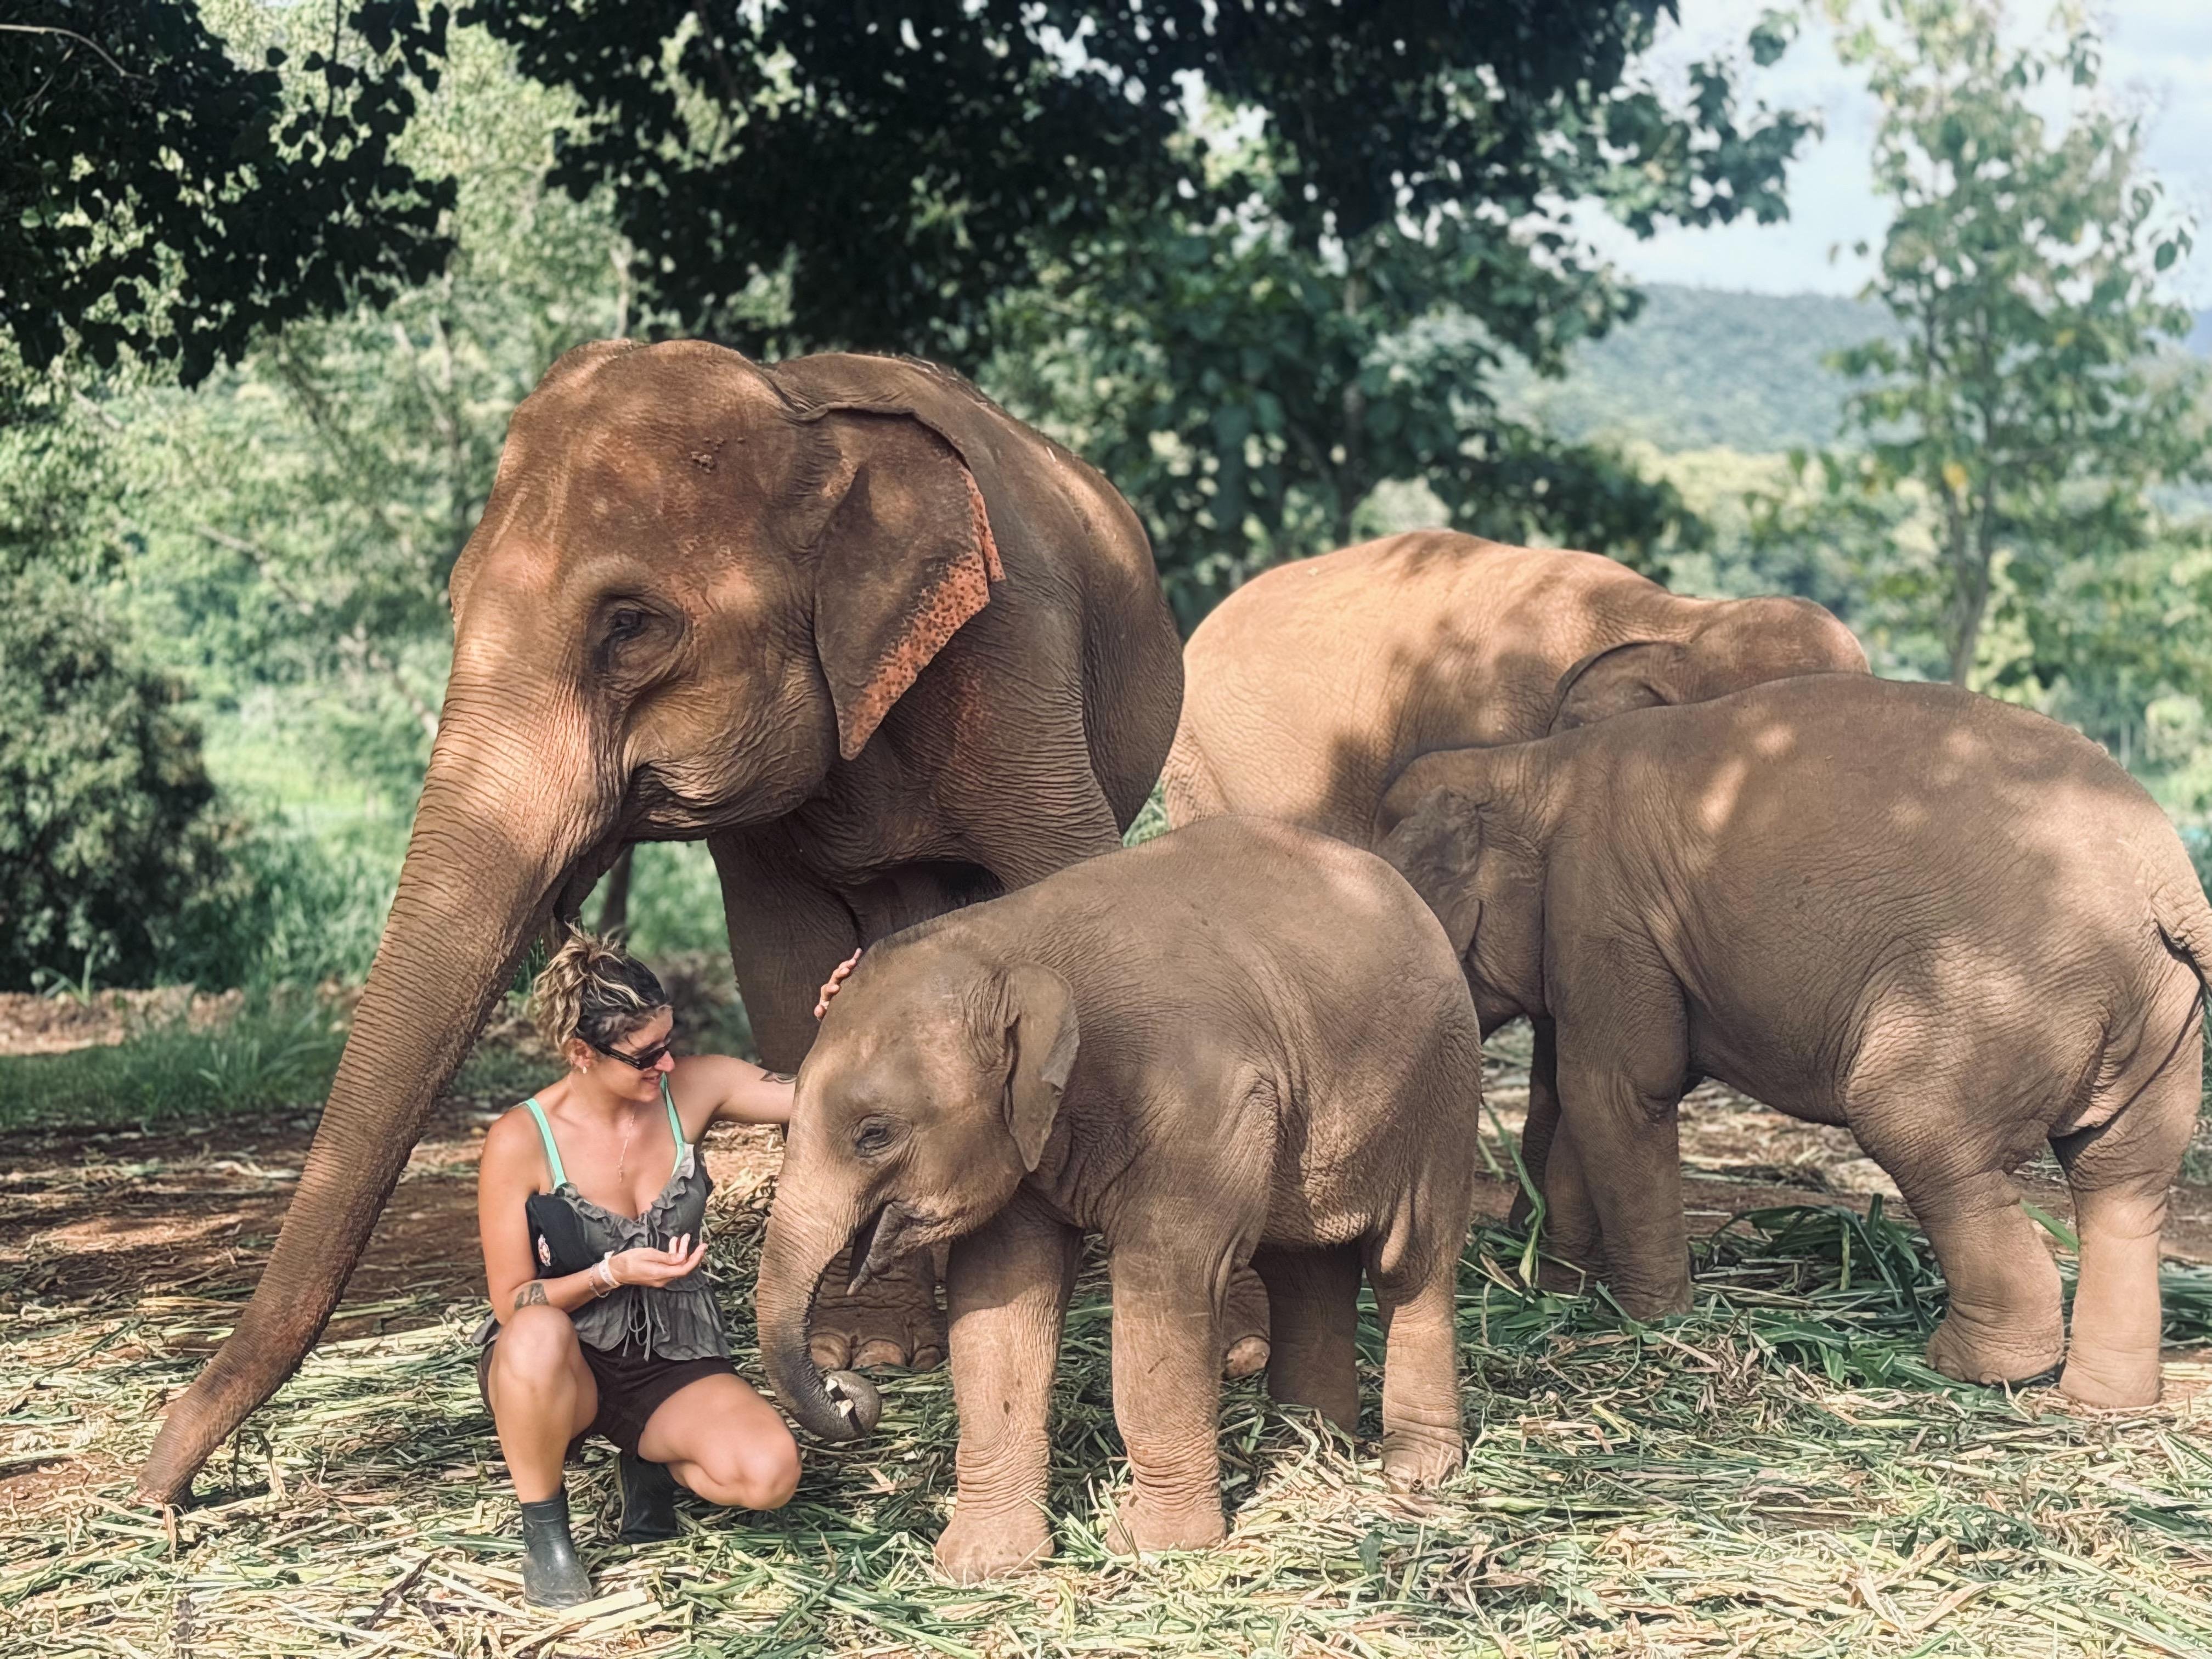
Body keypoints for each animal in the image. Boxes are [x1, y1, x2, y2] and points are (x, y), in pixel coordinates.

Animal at [137, 341, 1184, 1504]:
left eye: (629, 624)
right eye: (452, 603)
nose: (167, 1487)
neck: (797, 409)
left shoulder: (1013, 662)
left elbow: (1072, 881)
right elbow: (786, 974)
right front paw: (863, 1348)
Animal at [757, 815, 1485, 1583]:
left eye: (875, 1134)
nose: (851, 1393)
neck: (1010, 949)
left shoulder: (1203, 1104)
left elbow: (1165, 1284)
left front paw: (1154, 1547)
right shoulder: (1027, 1138)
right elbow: (1001, 1298)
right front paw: (983, 1565)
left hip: (1440, 1090)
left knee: (1409, 1265)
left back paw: (1412, 1472)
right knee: (1305, 1266)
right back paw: (1309, 1435)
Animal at [1375, 674, 2211, 1407]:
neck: (1531, 765)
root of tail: (2168, 882)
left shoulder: (1601, 906)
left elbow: (1620, 1088)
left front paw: (1654, 1319)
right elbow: (1596, 1095)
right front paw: (1564, 1292)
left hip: (1999, 997)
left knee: (1922, 1131)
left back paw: (1966, 1368)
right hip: (2159, 1023)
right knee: (2122, 1180)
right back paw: (2103, 1401)